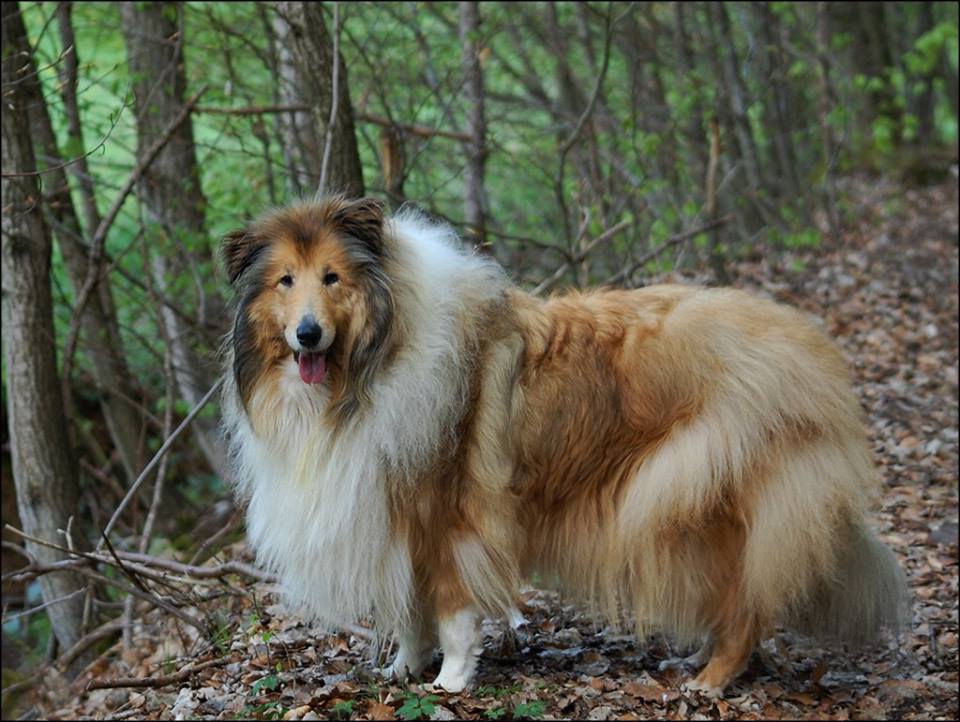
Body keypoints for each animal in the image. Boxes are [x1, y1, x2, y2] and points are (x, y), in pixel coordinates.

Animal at [221, 196, 907, 696]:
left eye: (332, 277)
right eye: (285, 281)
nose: (308, 335)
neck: (371, 363)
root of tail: (812, 356)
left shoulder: (454, 516)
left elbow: (451, 607)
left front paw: (450, 683)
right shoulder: (401, 516)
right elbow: (412, 610)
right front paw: (403, 671)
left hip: (690, 498)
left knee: (748, 604)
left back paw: (710, 680)